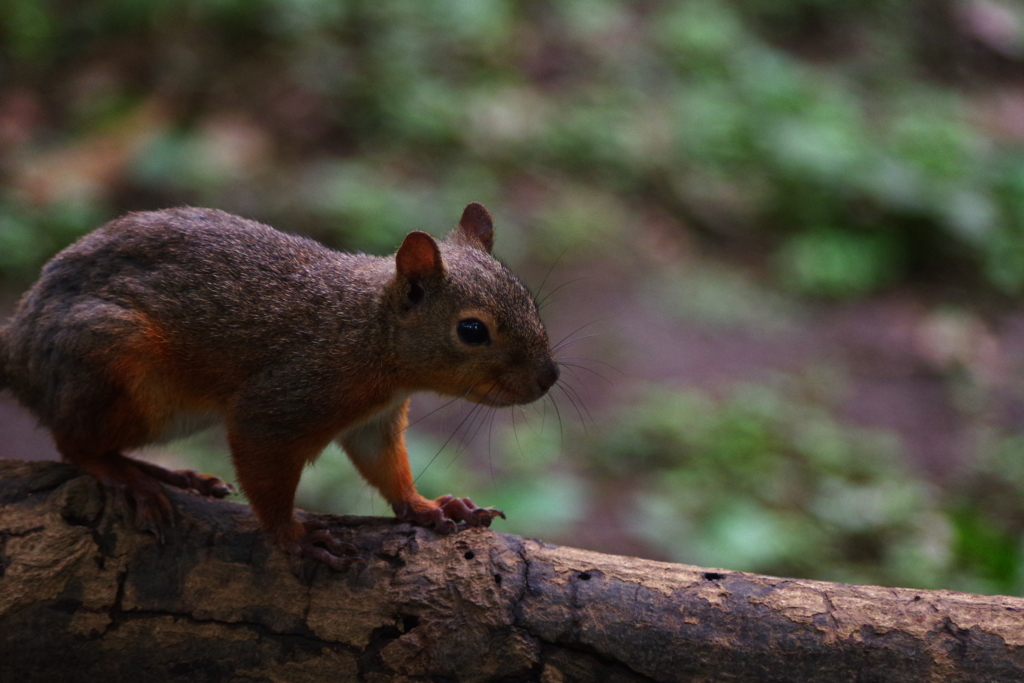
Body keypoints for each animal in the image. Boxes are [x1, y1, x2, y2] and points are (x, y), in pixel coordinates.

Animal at [0, 202, 561, 573]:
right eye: (472, 330)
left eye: (530, 300)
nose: (548, 377)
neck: (369, 334)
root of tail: (18, 349)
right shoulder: (281, 402)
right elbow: (264, 470)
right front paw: (292, 537)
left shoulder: (375, 422)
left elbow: (386, 469)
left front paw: (429, 508)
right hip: (114, 363)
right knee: (77, 445)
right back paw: (135, 479)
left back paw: (176, 477)